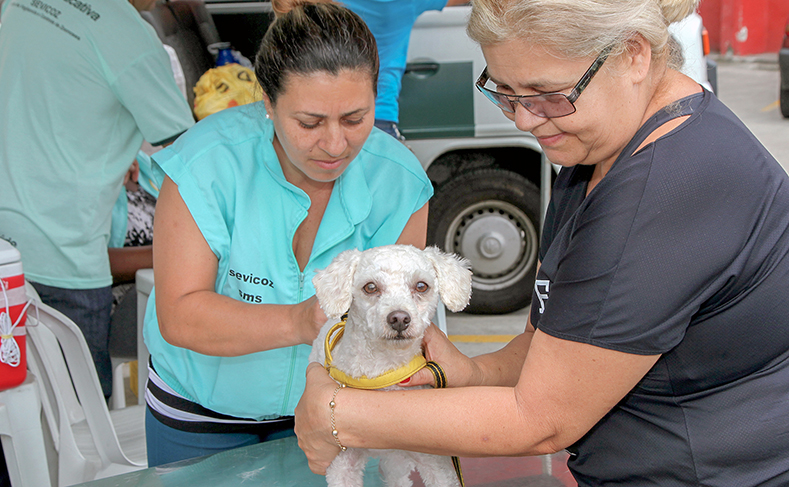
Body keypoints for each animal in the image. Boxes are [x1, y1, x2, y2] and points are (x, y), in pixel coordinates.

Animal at [306, 246, 468, 487]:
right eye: (370, 287)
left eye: (421, 286)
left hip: (397, 459)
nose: (399, 318)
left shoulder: (436, 464)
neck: (383, 369)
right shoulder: (342, 465)